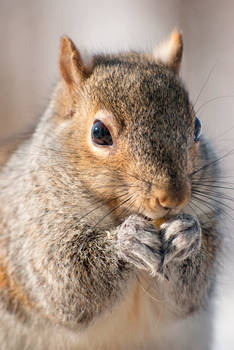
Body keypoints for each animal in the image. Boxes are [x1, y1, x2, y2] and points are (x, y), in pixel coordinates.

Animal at [0, 30, 222, 350]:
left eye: (197, 127)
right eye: (99, 132)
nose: (173, 197)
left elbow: (189, 293)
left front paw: (186, 235)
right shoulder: (29, 228)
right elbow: (66, 280)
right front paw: (127, 241)